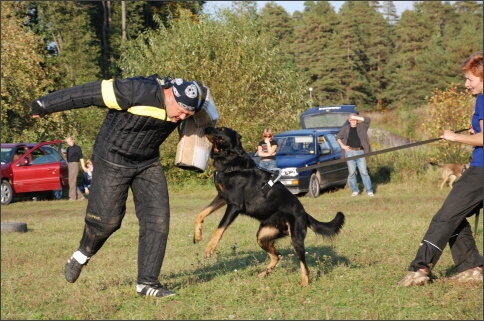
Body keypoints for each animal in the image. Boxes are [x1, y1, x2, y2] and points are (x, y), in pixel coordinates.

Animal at [193, 125, 344, 284]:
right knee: (277, 255)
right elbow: (201, 214)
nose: (206, 127)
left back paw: (304, 284)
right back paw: (263, 274)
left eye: (221, 129)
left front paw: (210, 247)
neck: (232, 160)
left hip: (295, 239)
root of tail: (304, 213)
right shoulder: (222, 197)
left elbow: (219, 228)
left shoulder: (234, 205)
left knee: (304, 265)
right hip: (263, 236)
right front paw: (197, 235)